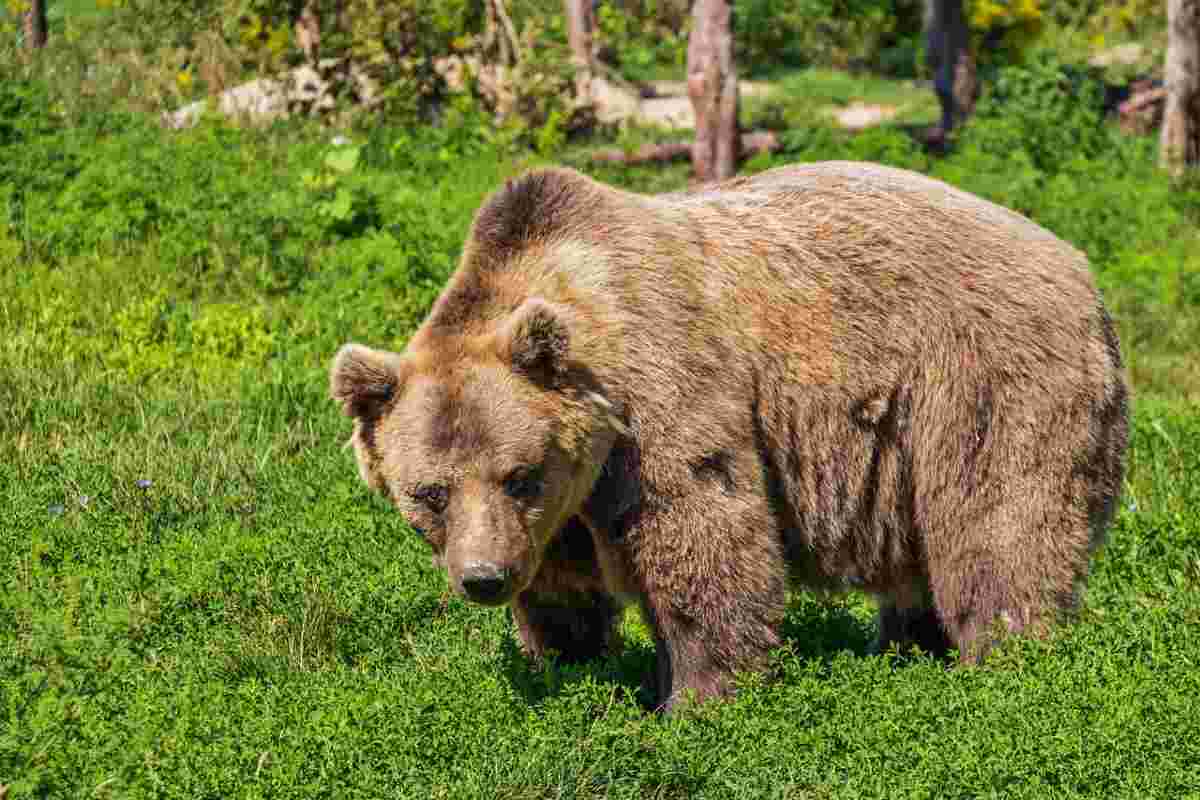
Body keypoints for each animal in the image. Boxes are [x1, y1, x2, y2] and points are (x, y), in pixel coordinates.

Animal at [328, 159, 1123, 710]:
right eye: (429, 493)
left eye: (519, 474)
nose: (483, 578)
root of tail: (1080, 266)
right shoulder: (559, 509)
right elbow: (561, 584)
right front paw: (567, 665)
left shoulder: (656, 399)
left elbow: (701, 530)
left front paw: (695, 697)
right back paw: (906, 647)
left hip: (982, 378)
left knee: (998, 521)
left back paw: (1004, 656)